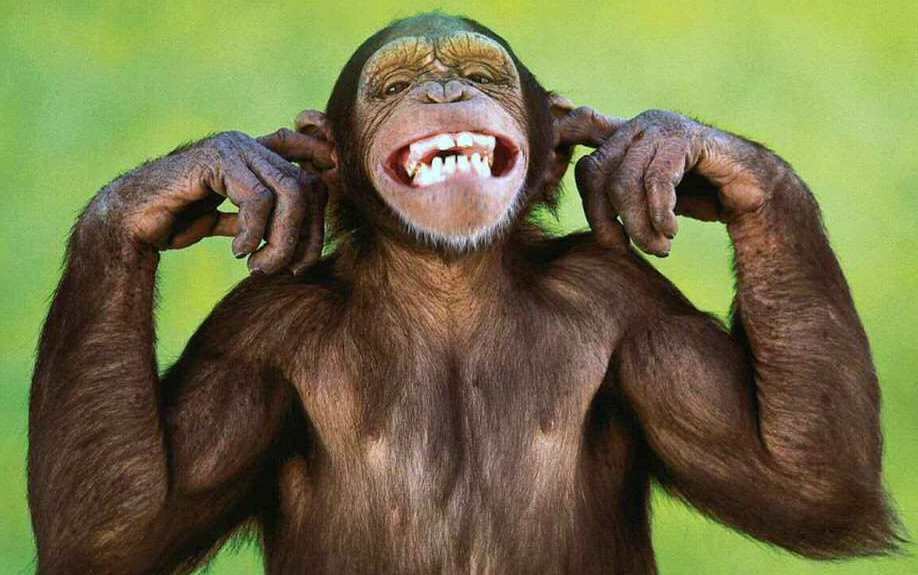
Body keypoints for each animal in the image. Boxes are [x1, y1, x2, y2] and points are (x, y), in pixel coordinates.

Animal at [28, 11, 902, 575]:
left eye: (481, 75)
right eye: (394, 86)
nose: (446, 93)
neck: (446, 283)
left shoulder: (628, 302)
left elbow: (801, 482)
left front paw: (673, 146)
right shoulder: (253, 336)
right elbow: (120, 524)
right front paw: (195, 176)